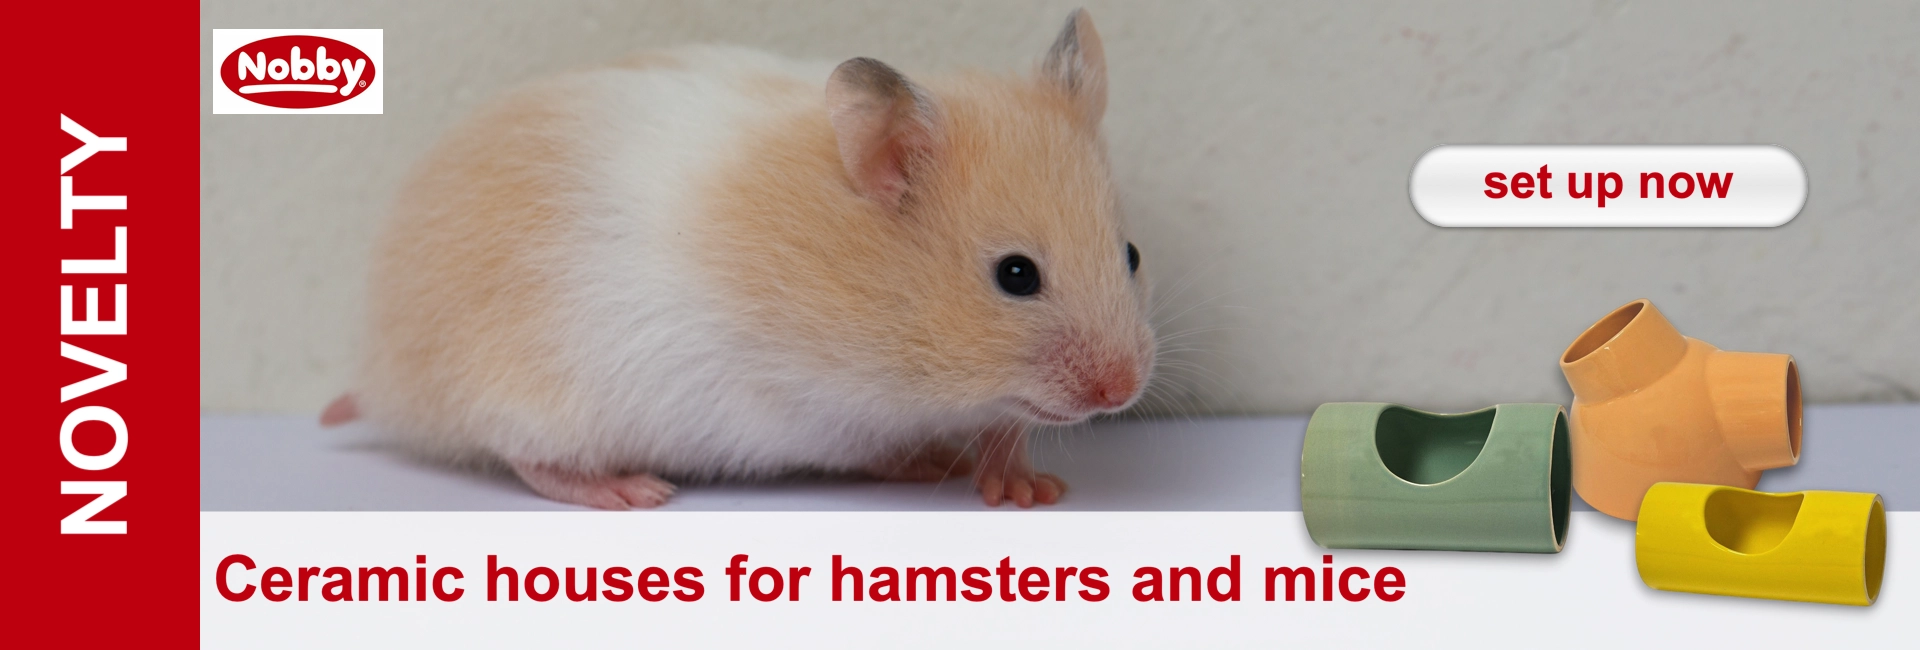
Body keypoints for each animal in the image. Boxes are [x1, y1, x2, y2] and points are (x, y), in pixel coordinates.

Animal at [326, 9, 1156, 509]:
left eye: (1132, 253)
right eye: (1015, 275)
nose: (1122, 392)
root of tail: (385, 378)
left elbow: (997, 426)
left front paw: (1031, 487)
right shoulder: (816, 401)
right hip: (536, 400)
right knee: (526, 458)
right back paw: (632, 492)